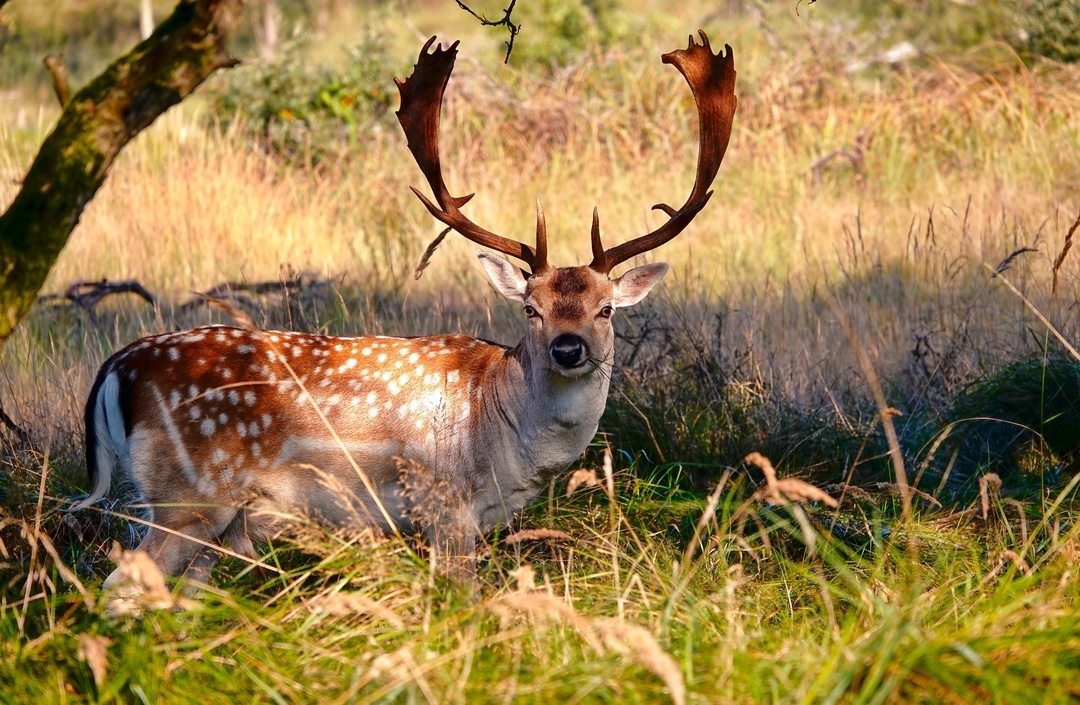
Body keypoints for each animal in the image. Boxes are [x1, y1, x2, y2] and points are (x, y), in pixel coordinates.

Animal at [73, 31, 734, 604]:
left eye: (605, 308)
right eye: (530, 309)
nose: (569, 348)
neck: (504, 437)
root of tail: (114, 369)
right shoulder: (443, 506)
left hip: (218, 523)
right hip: (187, 496)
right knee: (118, 588)